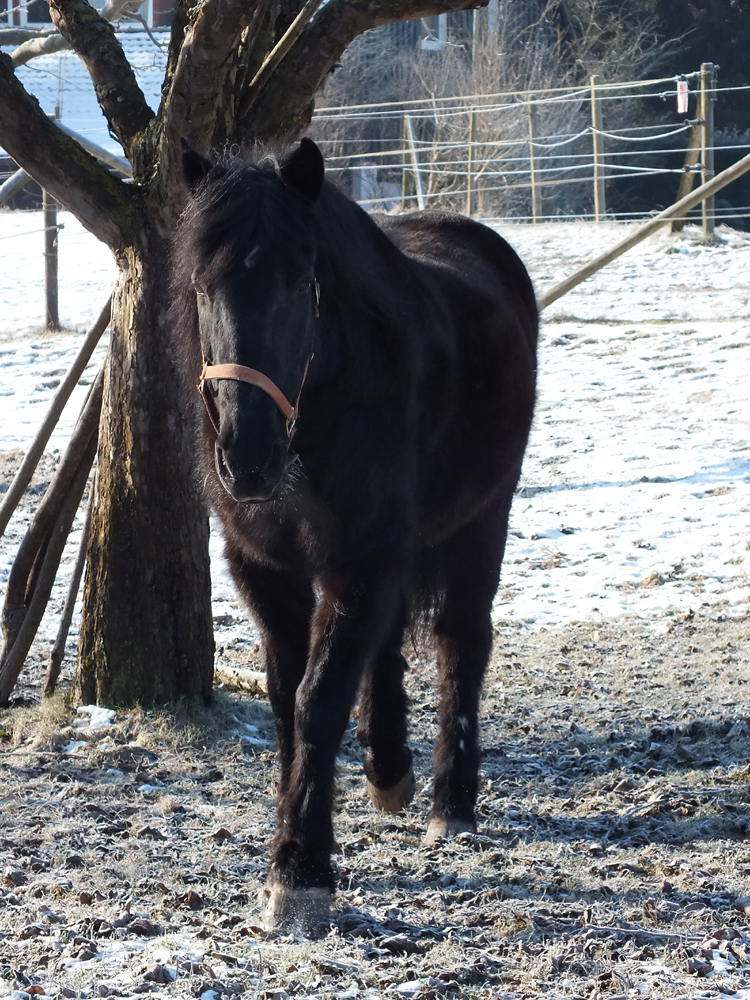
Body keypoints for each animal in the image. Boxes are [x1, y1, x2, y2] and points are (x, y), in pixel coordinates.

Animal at [175, 139, 540, 928]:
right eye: (201, 284)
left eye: (299, 282)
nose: (245, 457)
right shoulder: (265, 566)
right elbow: (288, 701)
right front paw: (297, 837)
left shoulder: (363, 558)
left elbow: (319, 699)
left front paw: (300, 869)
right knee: (392, 641)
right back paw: (388, 768)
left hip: (482, 517)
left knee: (460, 641)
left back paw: (450, 802)